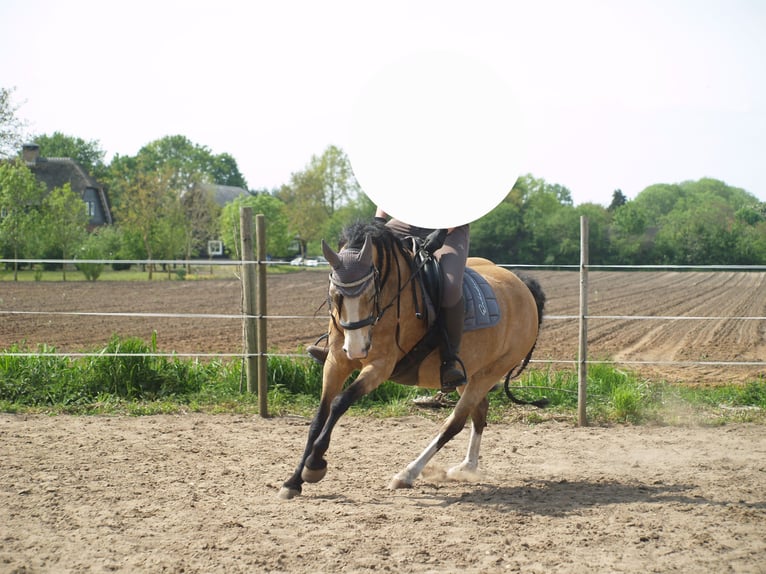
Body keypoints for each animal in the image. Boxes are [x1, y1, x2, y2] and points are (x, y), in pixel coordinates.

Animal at [278, 221, 545, 499]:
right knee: (480, 411)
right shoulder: (336, 363)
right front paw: (293, 481)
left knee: (454, 423)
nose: (357, 349)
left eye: (371, 293)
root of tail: (523, 287)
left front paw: (314, 465)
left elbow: (341, 402)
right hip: (470, 374)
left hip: (489, 374)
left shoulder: (380, 367)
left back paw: (407, 474)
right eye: (335, 293)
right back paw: (466, 467)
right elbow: (319, 418)